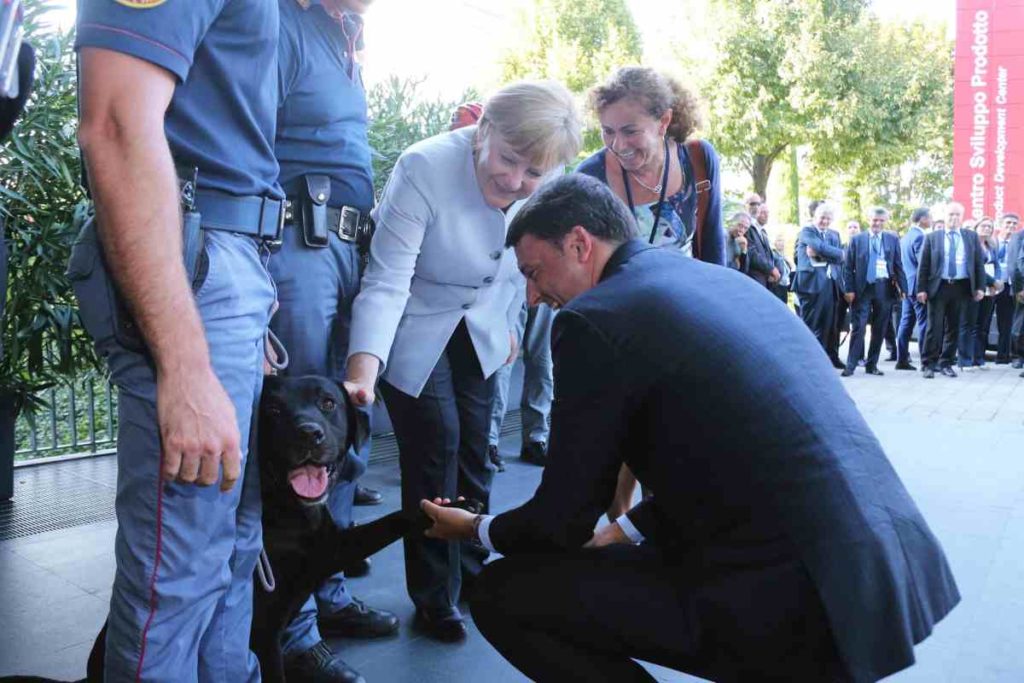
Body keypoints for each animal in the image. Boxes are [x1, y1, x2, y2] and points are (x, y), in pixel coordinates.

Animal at [3, 376, 479, 679]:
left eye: (327, 403)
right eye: (273, 410)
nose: (309, 434)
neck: (286, 511)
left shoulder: (330, 548)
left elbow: (394, 520)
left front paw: (448, 510)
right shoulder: (261, 631)